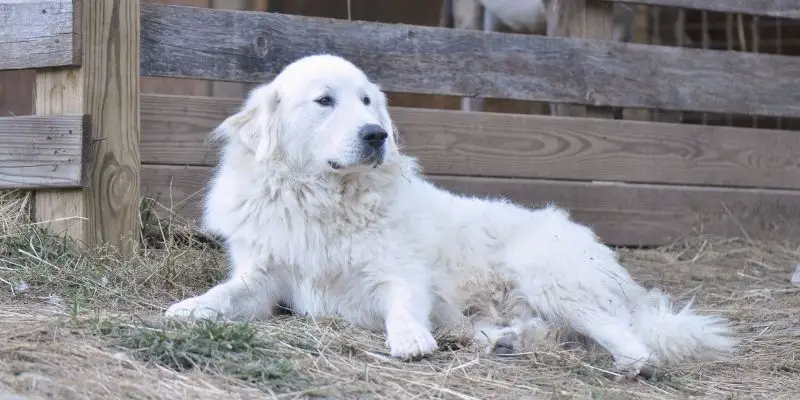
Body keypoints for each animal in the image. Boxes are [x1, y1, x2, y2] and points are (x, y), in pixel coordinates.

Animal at [166, 54, 740, 380]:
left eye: (367, 101)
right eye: (324, 101)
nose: (377, 134)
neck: (324, 199)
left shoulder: (398, 273)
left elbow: (402, 303)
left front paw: (410, 340)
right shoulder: (265, 278)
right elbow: (226, 293)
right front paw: (189, 309)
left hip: (550, 276)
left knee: (630, 339)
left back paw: (626, 366)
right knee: (543, 332)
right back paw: (500, 340)